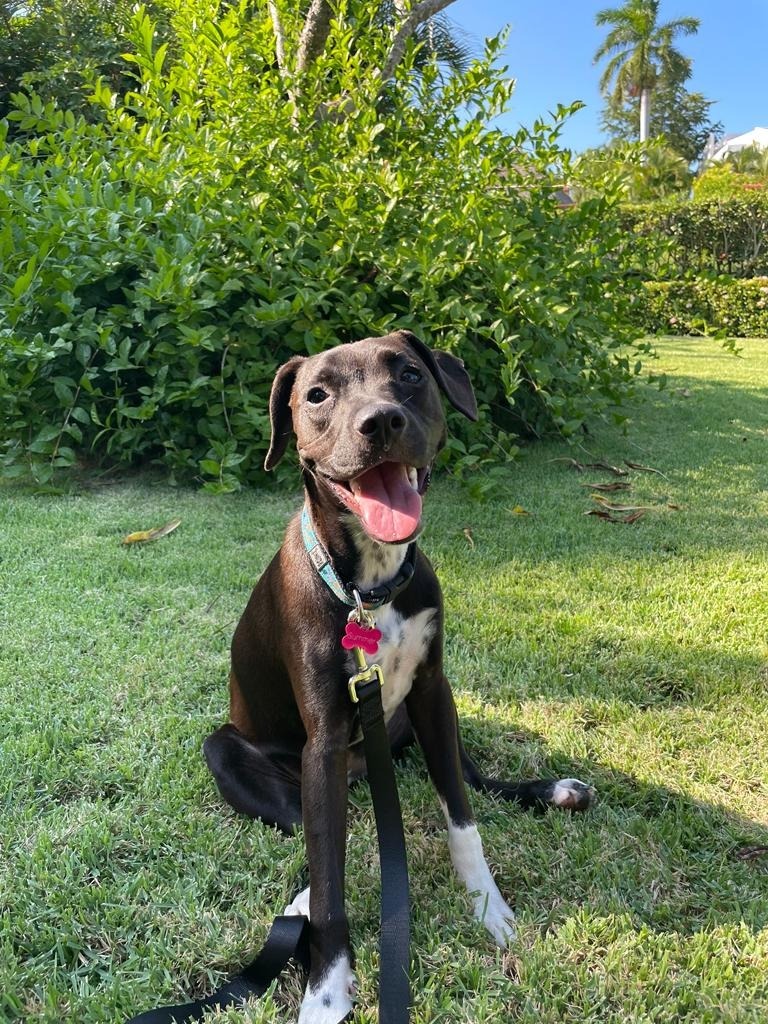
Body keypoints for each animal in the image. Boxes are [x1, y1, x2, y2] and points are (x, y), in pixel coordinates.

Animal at [204, 331, 593, 1024]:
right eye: (317, 395)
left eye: (410, 375)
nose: (380, 422)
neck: (368, 585)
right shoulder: (324, 741)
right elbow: (329, 876)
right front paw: (326, 988)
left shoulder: (436, 694)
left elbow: (463, 816)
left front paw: (489, 907)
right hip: (229, 750)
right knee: (306, 836)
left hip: (418, 716)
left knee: (472, 779)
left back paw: (553, 791)